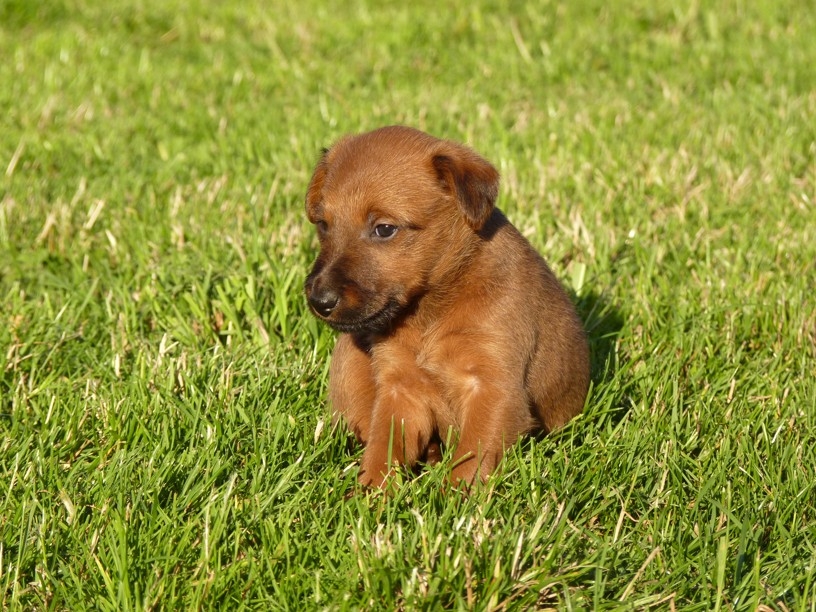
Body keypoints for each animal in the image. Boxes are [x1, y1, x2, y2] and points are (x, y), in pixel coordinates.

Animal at [304, 126, 590, 488]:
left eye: (384, 229)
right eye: (323, 225)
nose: (319, 300)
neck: (430, 312)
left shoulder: (492, 390)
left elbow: (470, 459)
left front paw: (455, 500)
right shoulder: (400, 392)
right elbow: (382, 450)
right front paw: (369, 496)